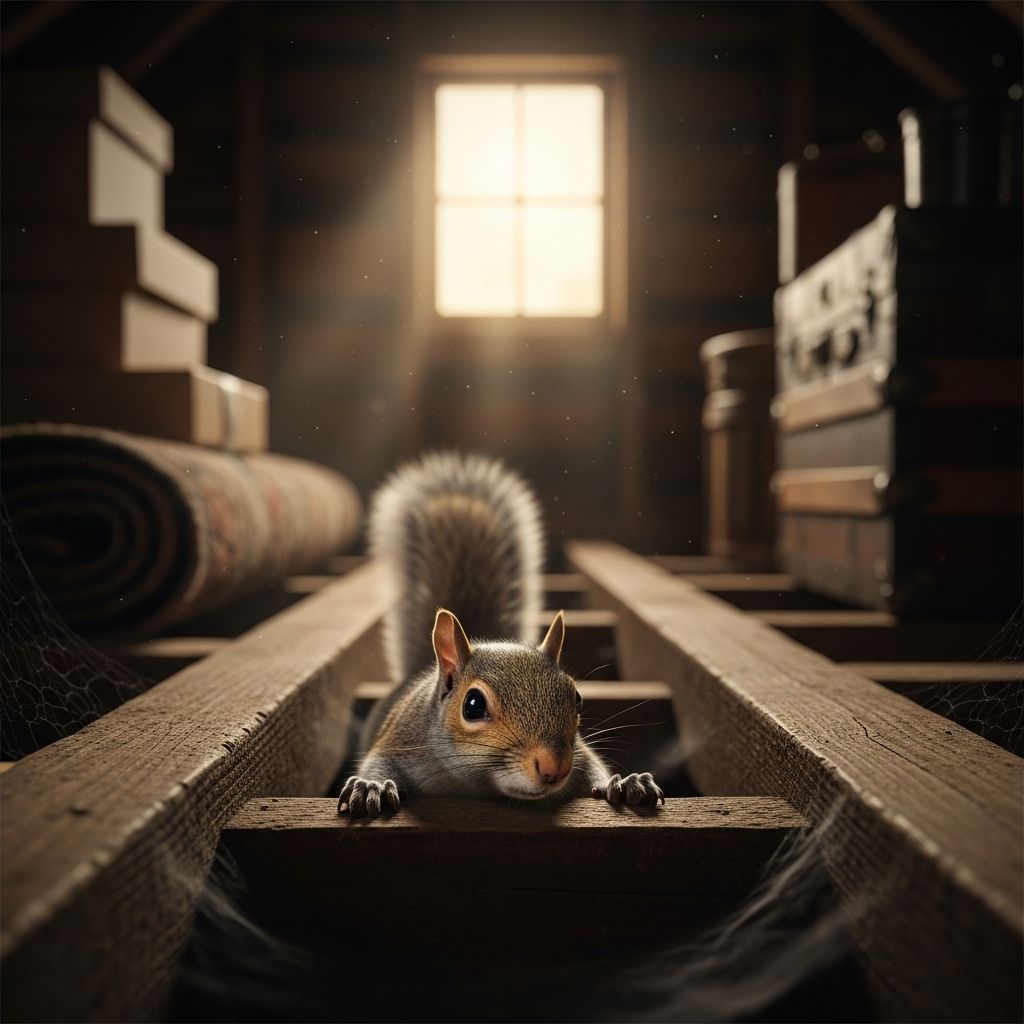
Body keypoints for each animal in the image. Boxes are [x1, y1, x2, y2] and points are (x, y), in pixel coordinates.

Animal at [337, 451, 665, 818]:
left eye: (577, 698)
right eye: (473, 705)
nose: (555, 769)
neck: (479, 786)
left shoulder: (581, 757)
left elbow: (594, 769)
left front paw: (624, 784)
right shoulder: (400, 741)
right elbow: (377, 763)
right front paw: (372, 786)